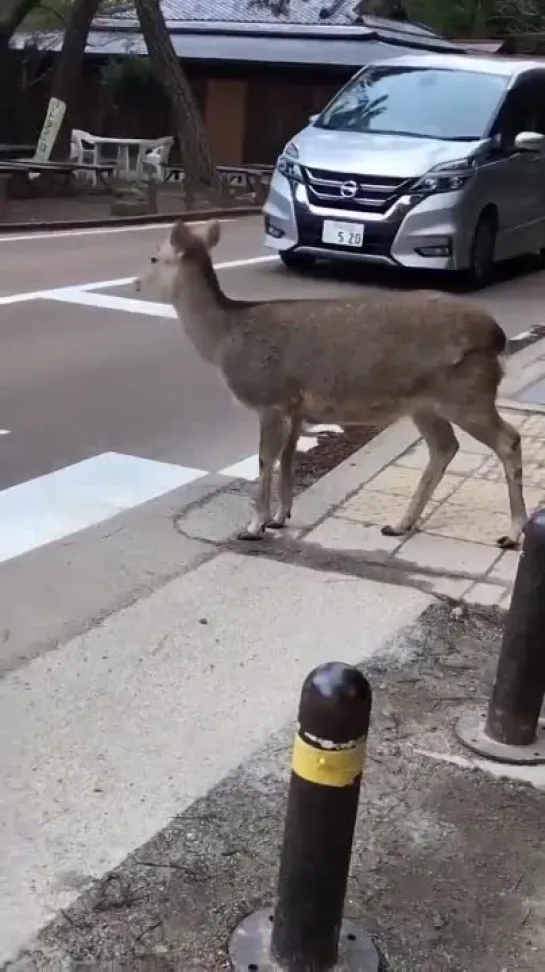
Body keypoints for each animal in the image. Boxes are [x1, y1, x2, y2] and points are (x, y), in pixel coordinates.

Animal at [137, 220, 528, 552]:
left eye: (154, 257)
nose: (137, 284)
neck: (223, 340)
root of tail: (497, 337)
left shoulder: (271, 396)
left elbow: (265, 459)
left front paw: (254, 526)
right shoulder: (295, 405)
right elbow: (287, 458)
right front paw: (280, 518)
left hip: (467, 392)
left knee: (508, 439)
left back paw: (512, 533)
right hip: (425, 403)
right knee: (445, 447)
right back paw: (399, 524)